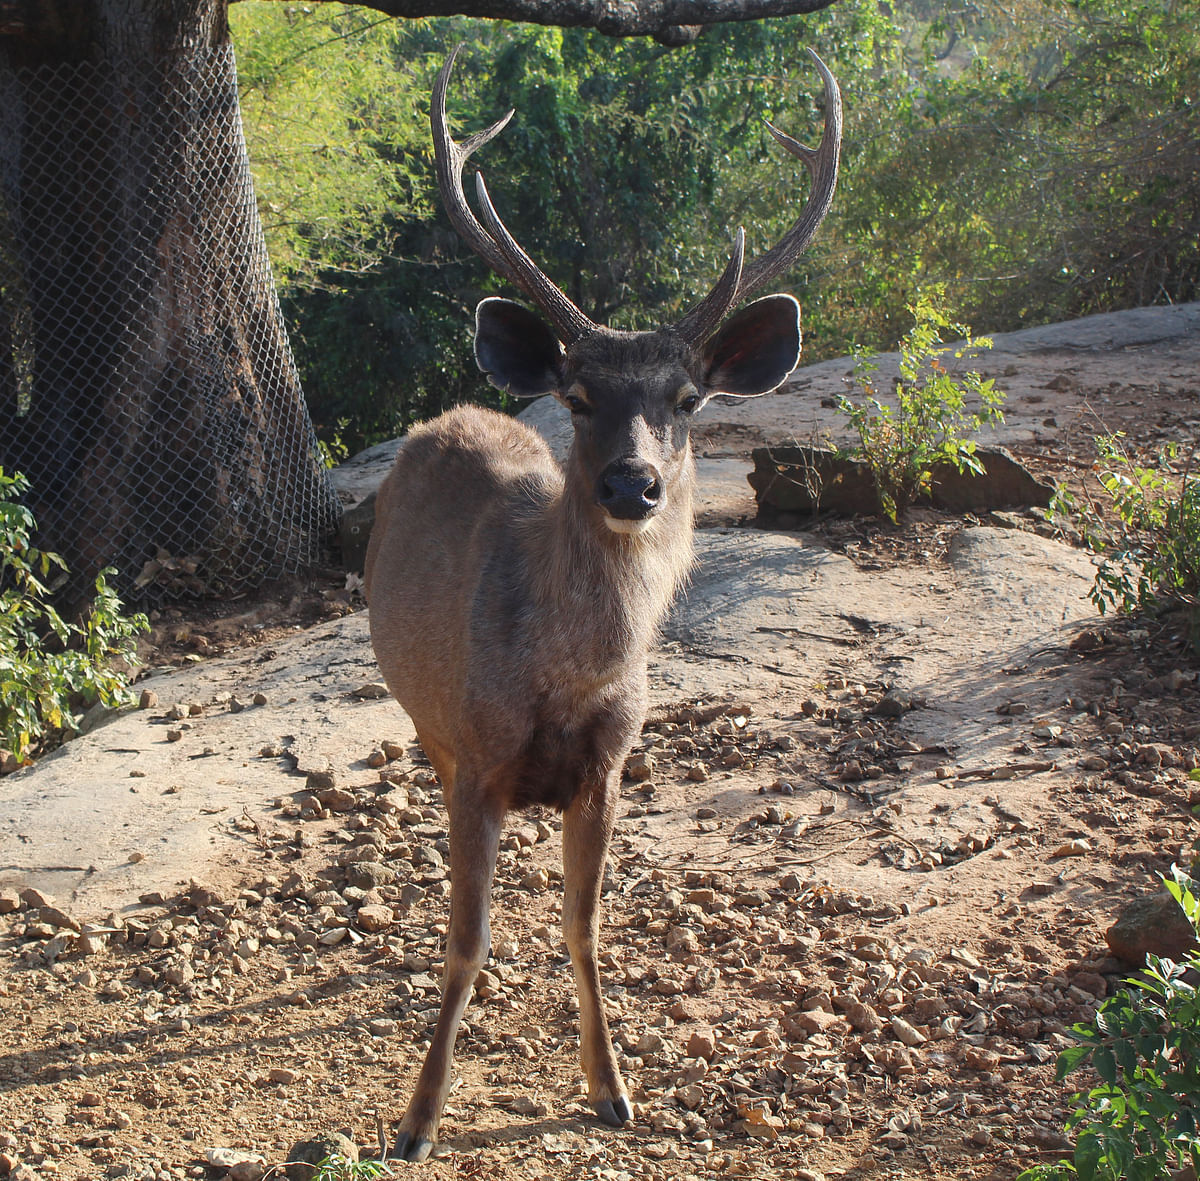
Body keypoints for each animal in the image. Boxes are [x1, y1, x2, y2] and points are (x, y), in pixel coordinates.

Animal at [364, 48, 844, 1161]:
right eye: (580, 397)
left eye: (689, 398)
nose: (633, 483)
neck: (565, 681)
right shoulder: (477, 757)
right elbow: (466, 939)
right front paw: (417, 1116)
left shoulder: (609, 767)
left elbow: (585, 925)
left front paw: (613, 1086)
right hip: (423, 719)